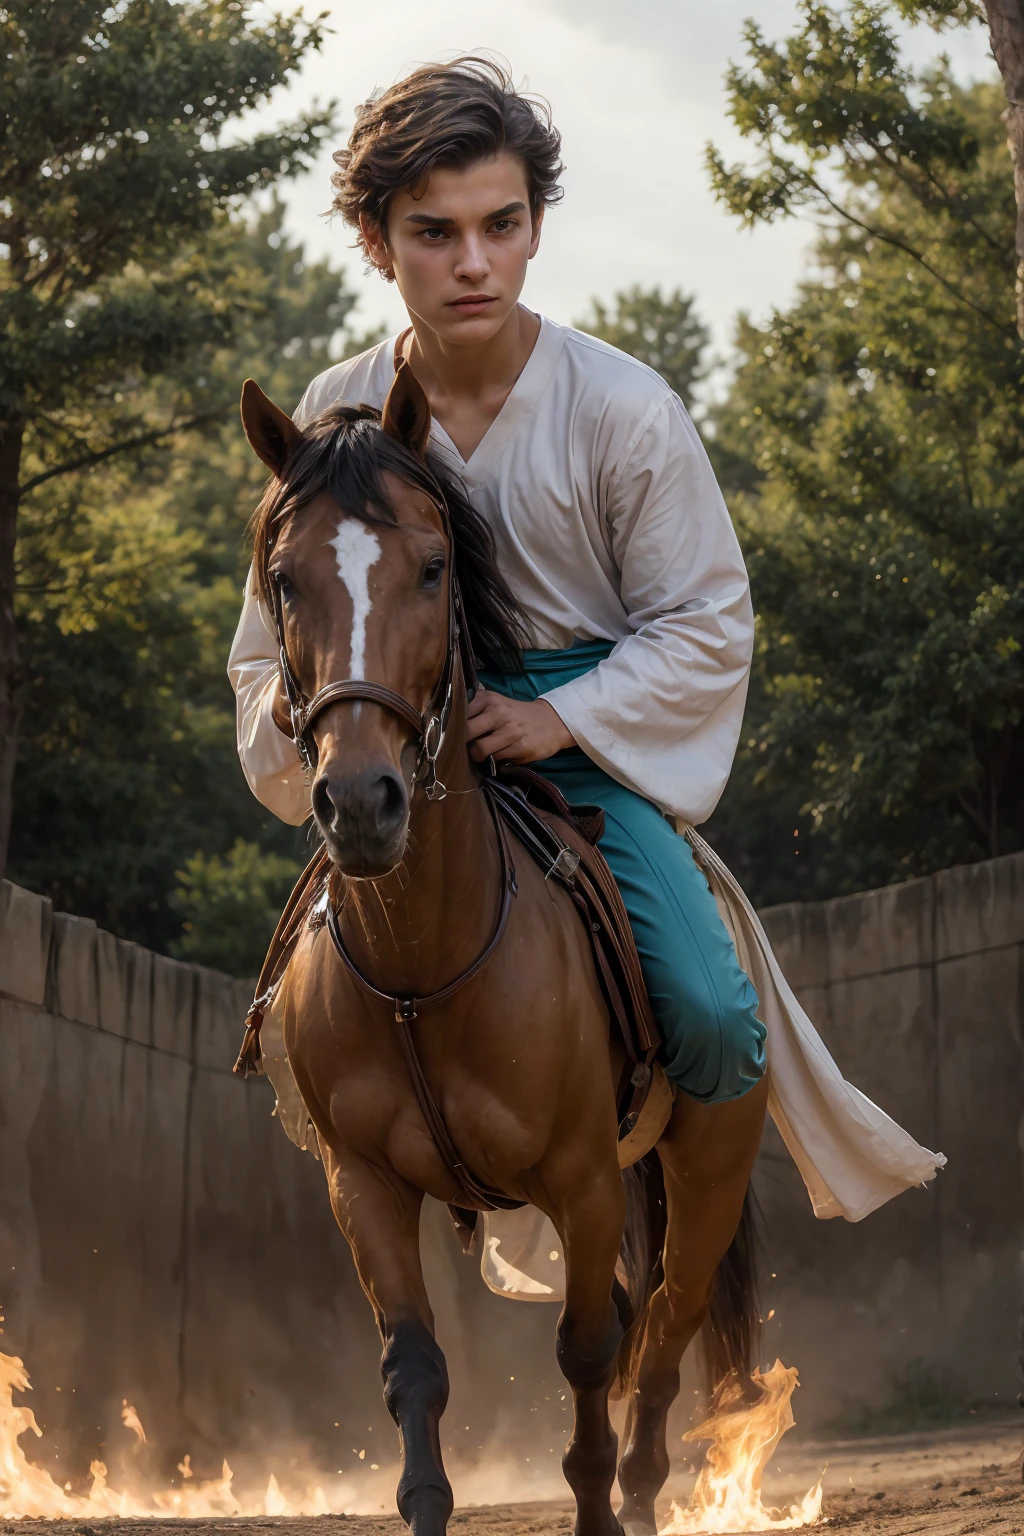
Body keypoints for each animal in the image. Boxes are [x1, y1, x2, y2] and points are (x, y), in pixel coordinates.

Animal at [241, 365, 767, 1536]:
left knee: (661, 1329)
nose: (361, 800)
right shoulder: (364, 1188)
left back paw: (646, 1492)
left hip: (704, 1171)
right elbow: (415, 1373)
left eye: (433, 568)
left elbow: (588, 1357)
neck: (422, 965)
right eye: (285, 582)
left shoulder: (581, 1179)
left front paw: (602, 1504)